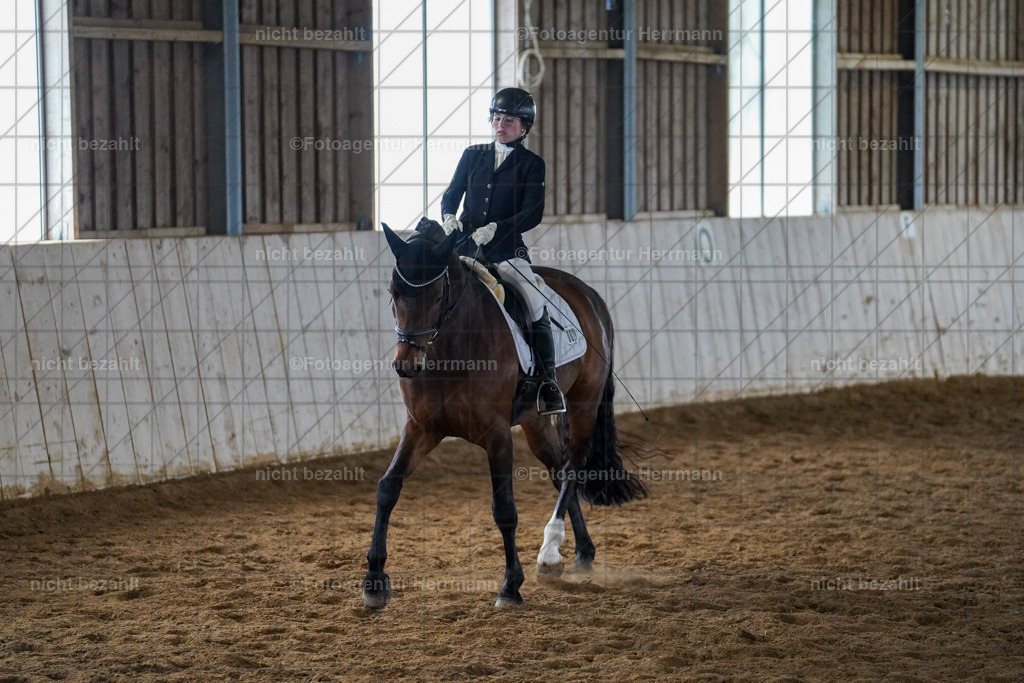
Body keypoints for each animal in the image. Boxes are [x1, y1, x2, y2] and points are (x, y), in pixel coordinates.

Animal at [363, 218, 646, 609]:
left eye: (436, 296)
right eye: (393, 292)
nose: (406, 365)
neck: (450, 350)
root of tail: (588, 294)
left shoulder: (496, 434)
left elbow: (504, 509)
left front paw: (511, 587)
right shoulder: (422, 427)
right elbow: (387, 488)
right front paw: (374, 582)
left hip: (584, 403)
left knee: (573, 467)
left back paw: (549, 550)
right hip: (535, 422)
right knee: (559, 470)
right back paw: (575, 553)